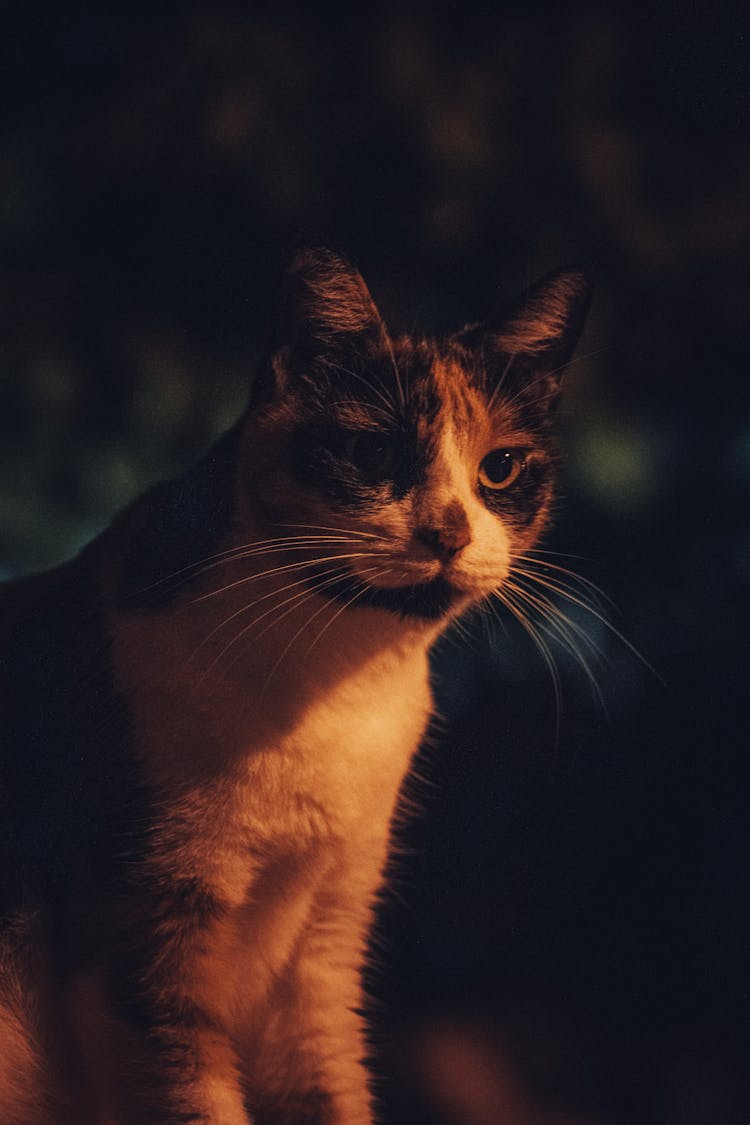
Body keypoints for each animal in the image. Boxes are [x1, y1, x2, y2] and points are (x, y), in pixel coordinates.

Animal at [0, 248, 589, 1125]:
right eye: (373, 454)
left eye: (500, 468)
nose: (448, 533)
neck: (336, 688)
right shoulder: (148, 945)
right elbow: (197, 1096)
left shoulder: (326, 944)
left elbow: (329, 1089)